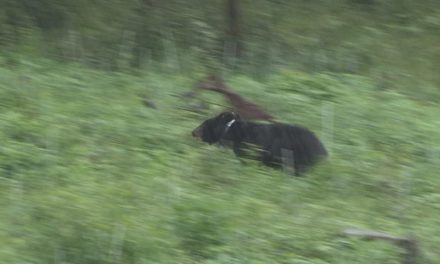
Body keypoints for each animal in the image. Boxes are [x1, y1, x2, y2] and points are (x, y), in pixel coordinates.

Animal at [191, 111, 328, 175]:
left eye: (205, 124)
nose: (193, 132)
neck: (231, 132)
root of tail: (323, 149)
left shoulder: (248, 147)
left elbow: (248, 160)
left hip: (300, 157)